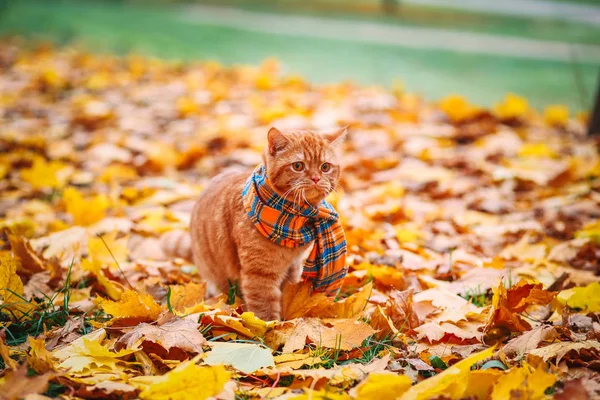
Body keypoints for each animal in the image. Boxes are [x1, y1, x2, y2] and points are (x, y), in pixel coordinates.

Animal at [162, 126, 346, 320]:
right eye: (298, 166)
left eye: (325, 167)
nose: (316, 178)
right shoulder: (259, 273)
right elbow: (264, 308)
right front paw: (270, 326)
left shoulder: (293, 267)